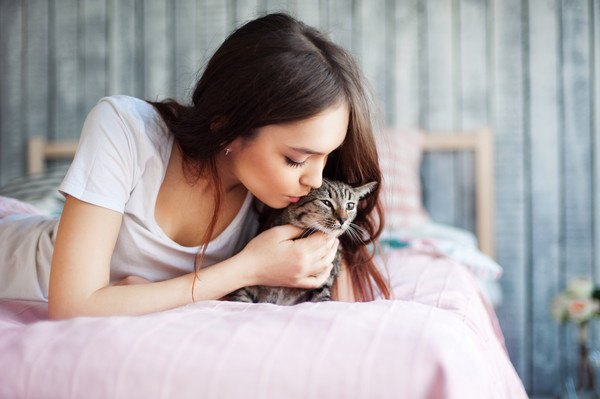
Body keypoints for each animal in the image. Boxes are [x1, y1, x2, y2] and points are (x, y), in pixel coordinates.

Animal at [223, 180, 378, 308]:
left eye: (350, 205)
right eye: (327, 203)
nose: (343, 219)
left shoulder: (323, 284)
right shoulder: (247, 287)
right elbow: (240, 300)